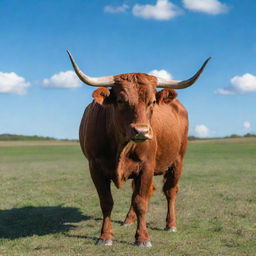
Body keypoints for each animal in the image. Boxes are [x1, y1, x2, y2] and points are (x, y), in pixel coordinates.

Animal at [67, 51, 211, 247]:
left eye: (152, 102)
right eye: (121, 100)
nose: (141, 131)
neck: (121, 145)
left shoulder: (147, 166)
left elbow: (141, 201)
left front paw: (142, 238)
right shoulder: (95, 168)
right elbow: (106, 202)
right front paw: (105, 236)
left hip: (178, 160)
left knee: (170, 191)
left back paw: (170, 224)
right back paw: (129, 219)